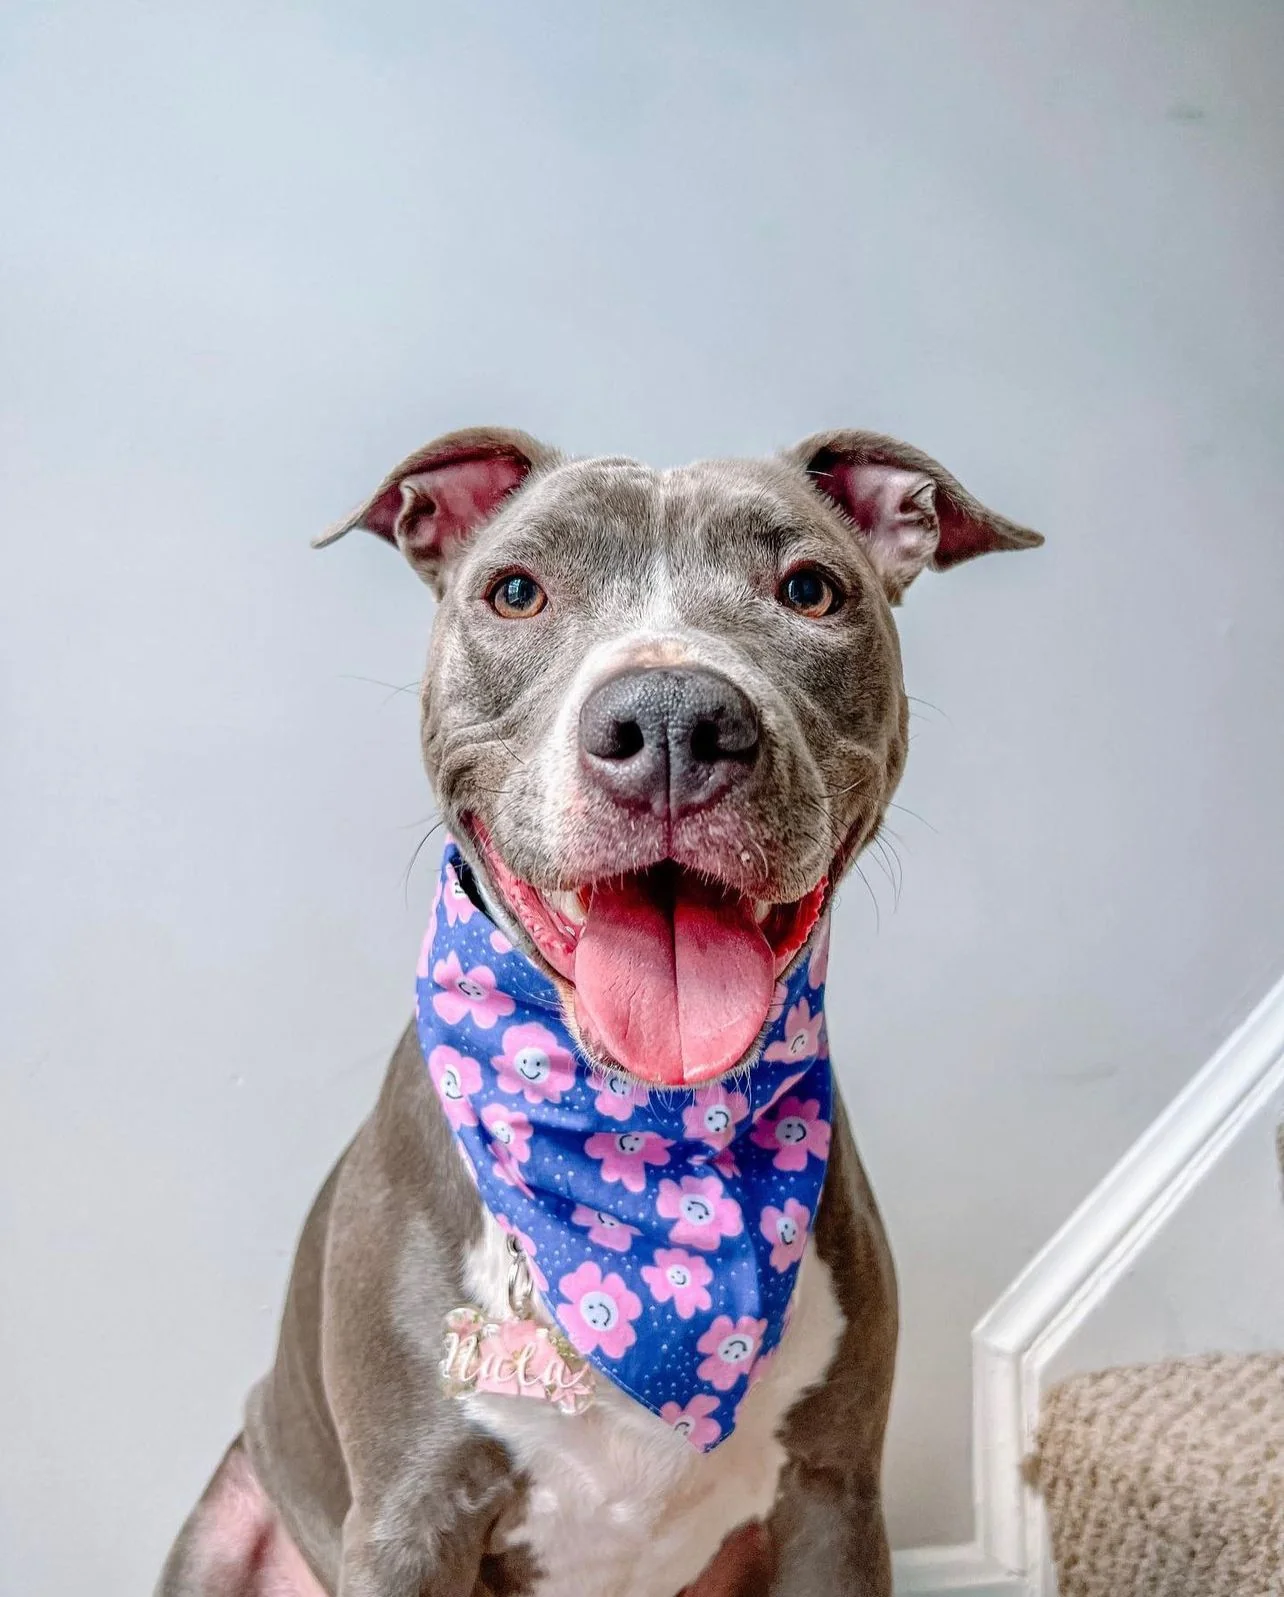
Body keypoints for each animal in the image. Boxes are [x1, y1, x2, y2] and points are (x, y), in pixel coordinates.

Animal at [158, 424, 1041, 1597]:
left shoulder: (834, 1500)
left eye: (810, 589)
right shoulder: (408, 1519)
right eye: (516, 592)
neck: (640, 1148)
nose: (672, 718)